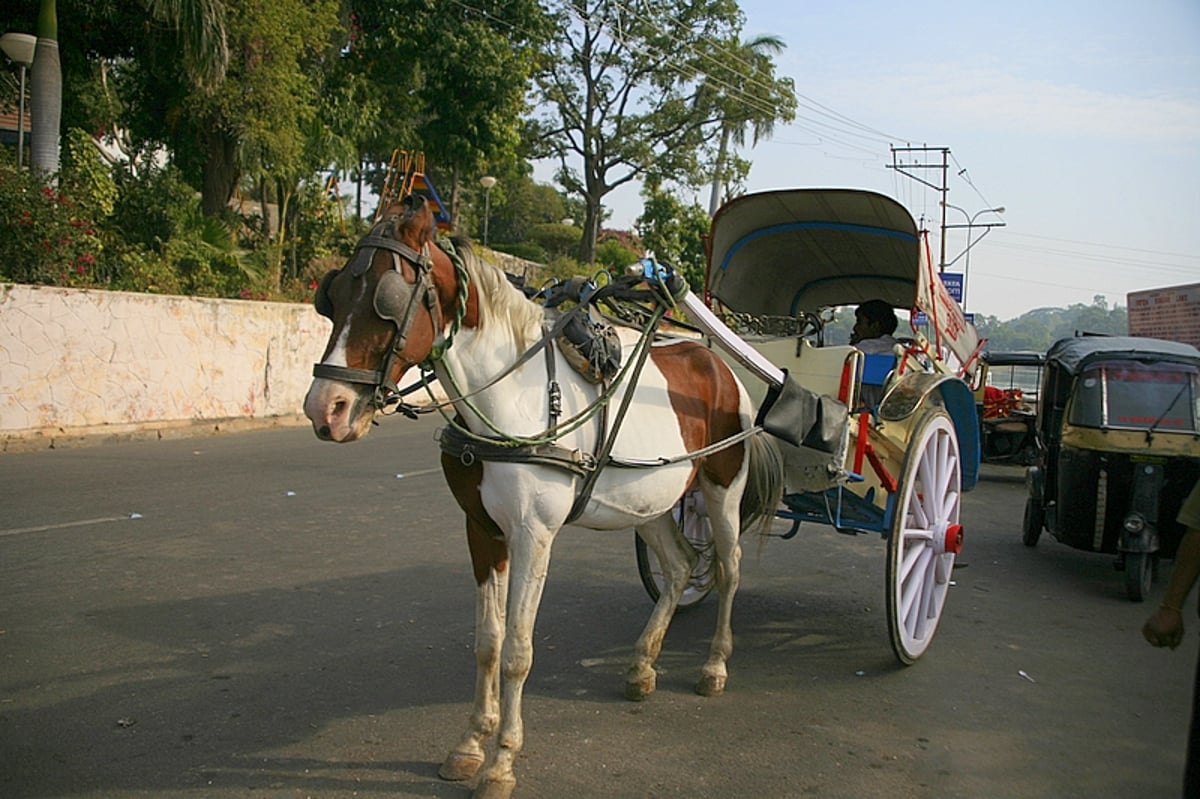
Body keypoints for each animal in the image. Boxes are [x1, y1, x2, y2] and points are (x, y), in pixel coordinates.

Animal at [304, 194, 782, 796]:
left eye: (386, 300)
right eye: (333, 295)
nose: (325, 409)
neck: (511, 396)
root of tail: (718, 361)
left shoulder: (534, 535)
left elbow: (516, 651)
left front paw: (502, 761)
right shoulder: (481, 530)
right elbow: (487, 641)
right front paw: (470, 744)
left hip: (722, 489)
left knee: (727, 567)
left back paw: (715, 666)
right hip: (648, 500)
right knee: (678, 566)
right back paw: (642, 665)